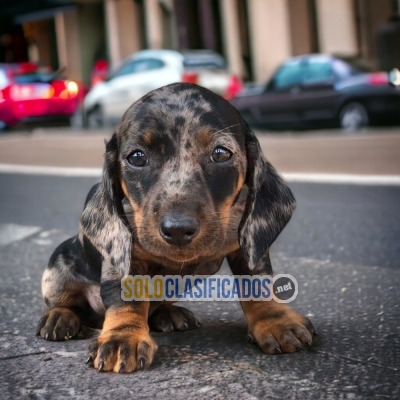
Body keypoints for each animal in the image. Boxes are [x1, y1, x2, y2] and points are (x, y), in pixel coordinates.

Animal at [36, 83, 314, 374]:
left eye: (221, 153)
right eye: (136, 157)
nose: (178, 229)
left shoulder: (249, 244)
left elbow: (258, 282)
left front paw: (275, 320)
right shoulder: (123, 253)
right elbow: (125, 296)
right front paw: (123, 336)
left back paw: (168, 314)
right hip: (58, 263)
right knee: (67, 303)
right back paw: (60, 317)